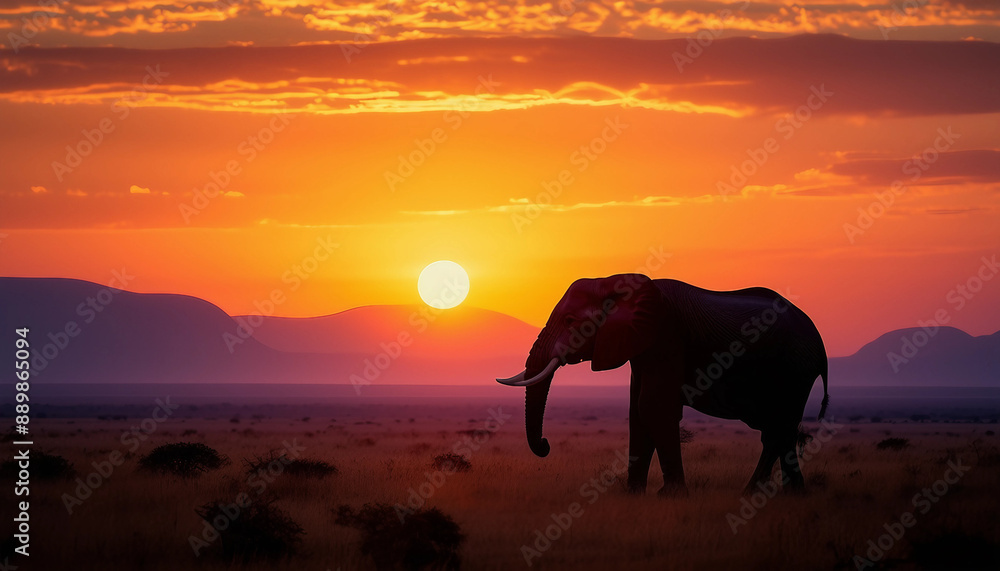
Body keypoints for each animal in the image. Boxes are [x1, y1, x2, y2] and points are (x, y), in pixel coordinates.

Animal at [496, 274, 829, 495]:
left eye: (569, 321)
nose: (545, 445)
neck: (617, 282)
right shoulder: (639, 343)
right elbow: (637, 410)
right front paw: (632, 495)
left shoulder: (666, 335)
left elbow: (652, 406)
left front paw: (671, 496)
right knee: (779, 430)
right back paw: (789, 495)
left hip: (794, 370)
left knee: (778, 428)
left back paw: (760, 493)